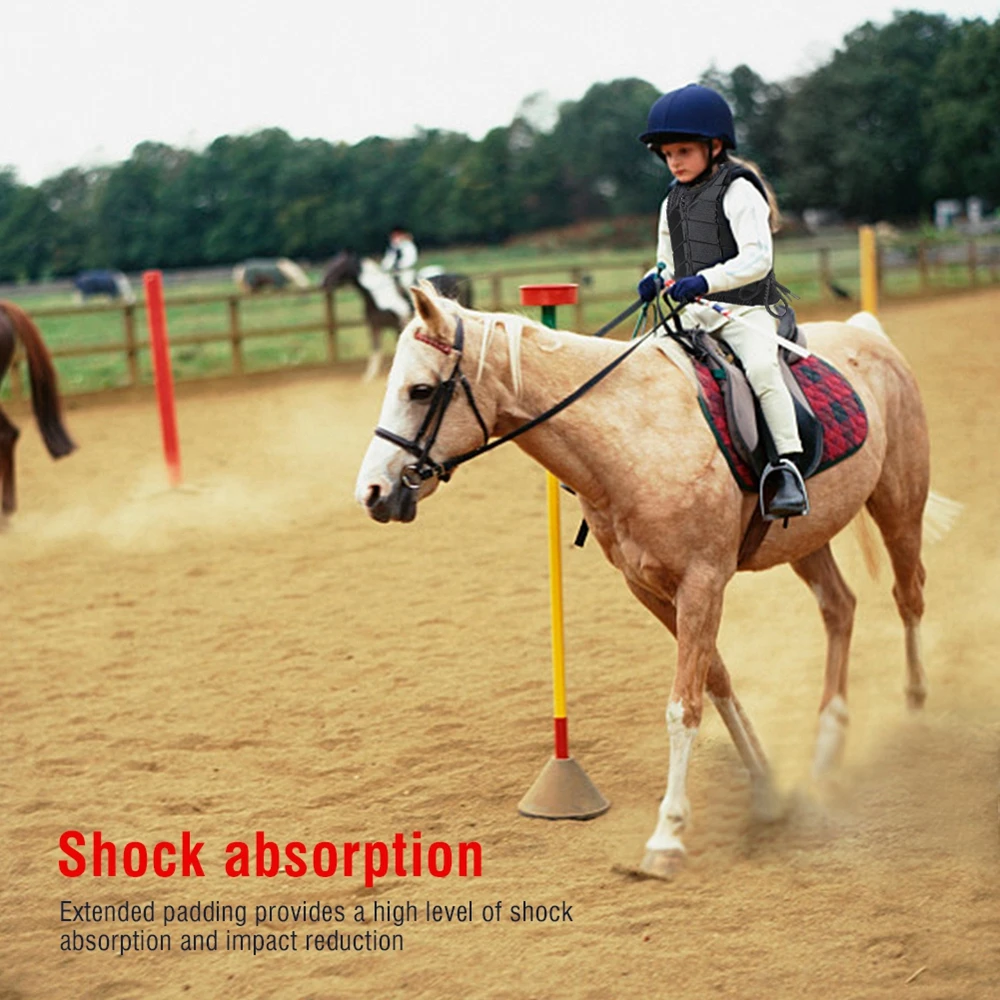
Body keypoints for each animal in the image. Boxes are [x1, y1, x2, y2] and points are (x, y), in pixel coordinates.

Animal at [322, 250, 474, 382]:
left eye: (337, 265)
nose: (323, 284)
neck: (377, 296)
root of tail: (460, 276)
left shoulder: (397, 325)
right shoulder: (375, 327)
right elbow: (375, 348)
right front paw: (369, 375)